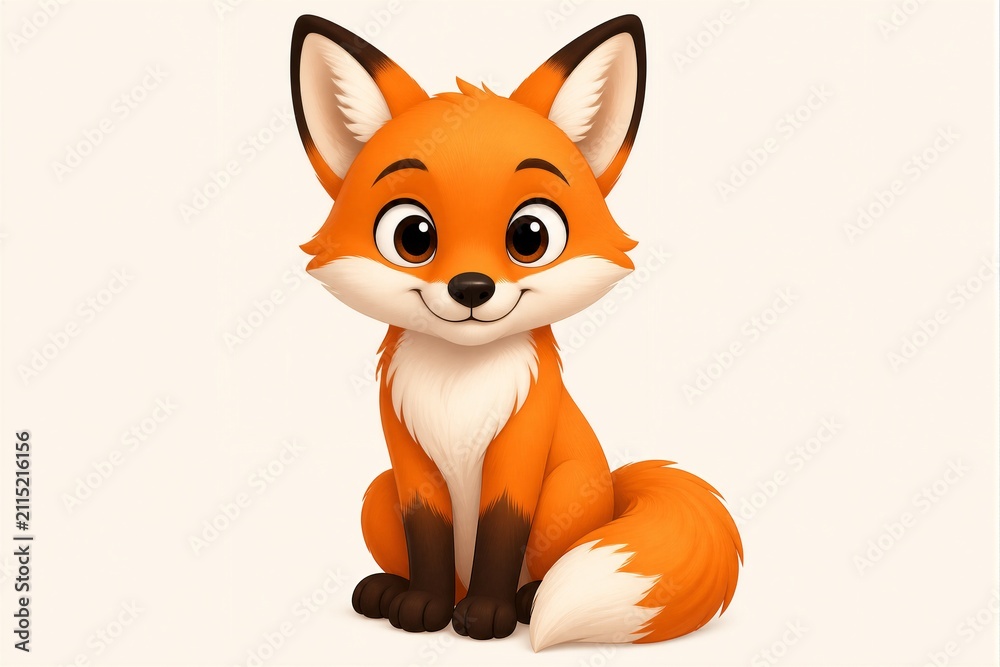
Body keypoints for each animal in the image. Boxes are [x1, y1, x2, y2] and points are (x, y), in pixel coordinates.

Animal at [289, 14, 743, 651]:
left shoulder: (521, 447)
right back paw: (389, 591)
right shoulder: (409, 462)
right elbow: (427, 539)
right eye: (412, 236)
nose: (471, 288)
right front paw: (423, 606)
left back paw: (525, 600)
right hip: (378, 492)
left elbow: (502, 534)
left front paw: (487, 615)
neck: (459, 386)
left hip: (570, 487)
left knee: (544, 564)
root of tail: (615, 493)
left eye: (530, 235)